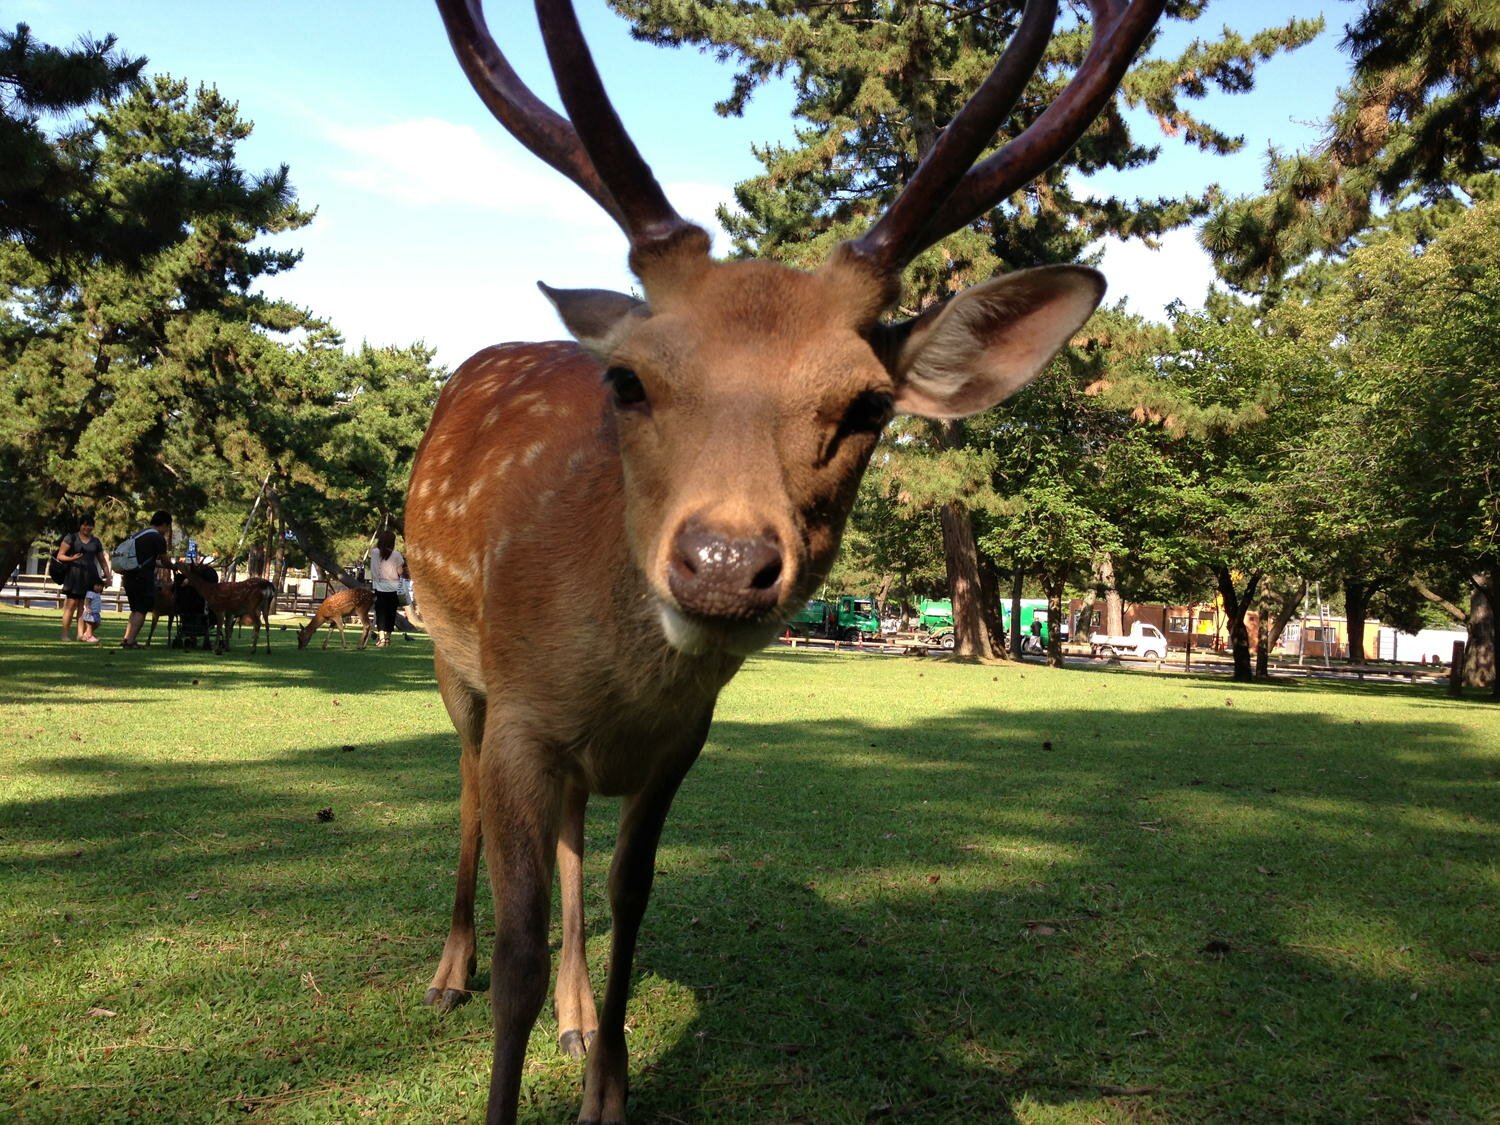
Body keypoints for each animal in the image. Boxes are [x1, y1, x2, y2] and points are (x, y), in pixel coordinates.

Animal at [411, 4, 1170, 1122]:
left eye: (867, 405)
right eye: (628, 382)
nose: (724, 562)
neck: (613, 687)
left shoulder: (677, 744)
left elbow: (634, 900)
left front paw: (608, 1088)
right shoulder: (519, 715)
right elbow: (517, 945)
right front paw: (510, 1012)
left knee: (573, 837)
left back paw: (577, 1013)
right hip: (448, 660)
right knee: (464, 793)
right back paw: (445, 974)